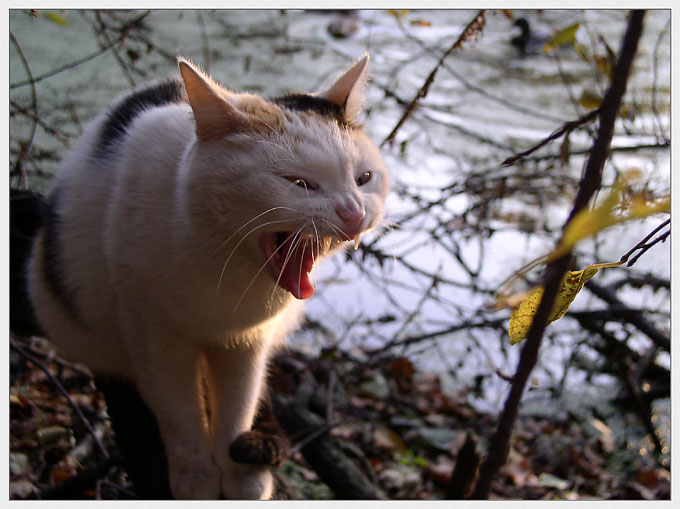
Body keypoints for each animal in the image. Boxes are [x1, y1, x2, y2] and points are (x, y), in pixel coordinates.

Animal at [27, 54, 388, 496]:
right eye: (300, 183)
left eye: (363, 179)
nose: (354, 214)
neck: (223, 271)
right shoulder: (154, 337)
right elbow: (179, 415)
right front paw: (195, 476)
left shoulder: (248, 342)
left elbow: (239, 404)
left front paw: (238, 475)